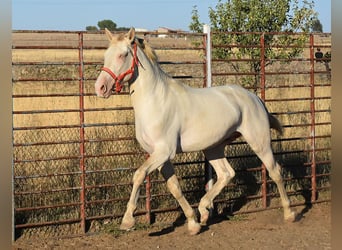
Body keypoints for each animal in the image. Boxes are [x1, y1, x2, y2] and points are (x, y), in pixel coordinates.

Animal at [95, 28, 296, 235]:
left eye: (122, 55)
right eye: (106, 55)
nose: (100, 88)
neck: (155, 101)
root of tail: (255, 98)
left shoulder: (164, 151)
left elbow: (139, 175)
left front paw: (127, 221)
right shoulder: (159, 156)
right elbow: (174, 186)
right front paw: (193, 223)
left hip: (259, 142)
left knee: (275, 171)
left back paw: (289, 213)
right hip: (213, 148)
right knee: (226, 174)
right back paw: (204, 210)